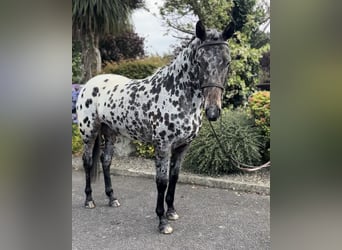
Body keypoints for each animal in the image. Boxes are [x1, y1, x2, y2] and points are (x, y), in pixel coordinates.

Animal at [75, 20, 235, 233]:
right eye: (200, 62)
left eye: (227, 62)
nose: (213, 111)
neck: (175, 92)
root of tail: (89, 84)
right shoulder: (163, 146)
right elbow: (162, 181)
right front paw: (162, 221)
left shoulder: (182, 147)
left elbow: (174, 178)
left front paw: (171, 212)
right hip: (89, 132)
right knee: (87, 162)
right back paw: (89, 200)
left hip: (110, 132)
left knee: (106, 161)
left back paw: (112, 198)